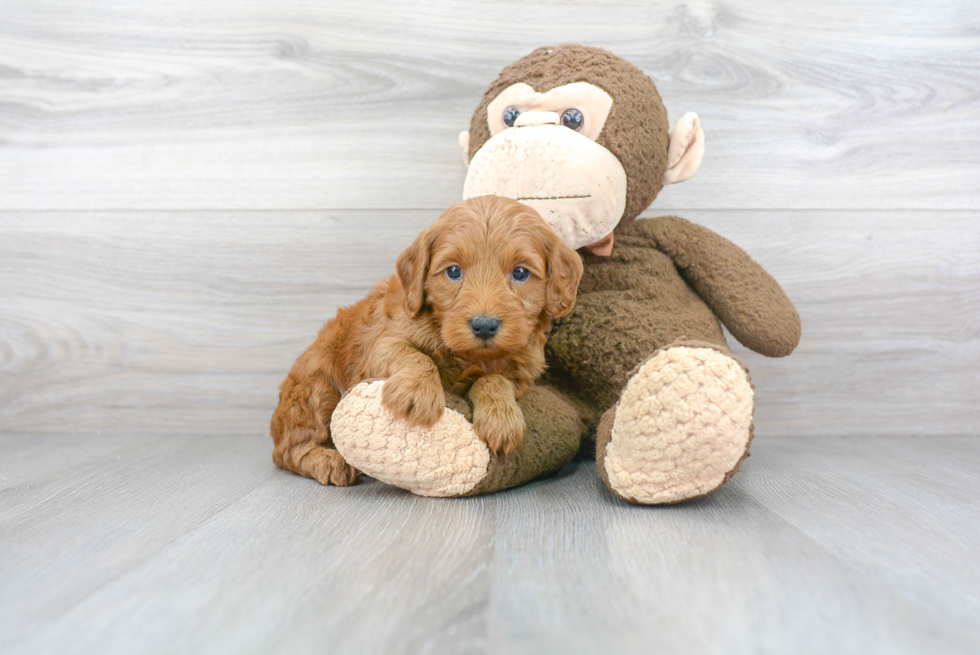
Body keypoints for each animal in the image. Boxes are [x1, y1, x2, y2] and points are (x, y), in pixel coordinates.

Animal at [270, 195, 580, 486]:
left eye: (520, 273)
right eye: (454, 271)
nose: (484, 326)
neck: (469, 355)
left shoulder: (524, 371)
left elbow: (496, 379)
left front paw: (501, 417)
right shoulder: (382, 344)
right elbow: (415, 355)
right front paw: (417, 393)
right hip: (315, 389)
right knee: (289, 450)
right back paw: (329, 460)